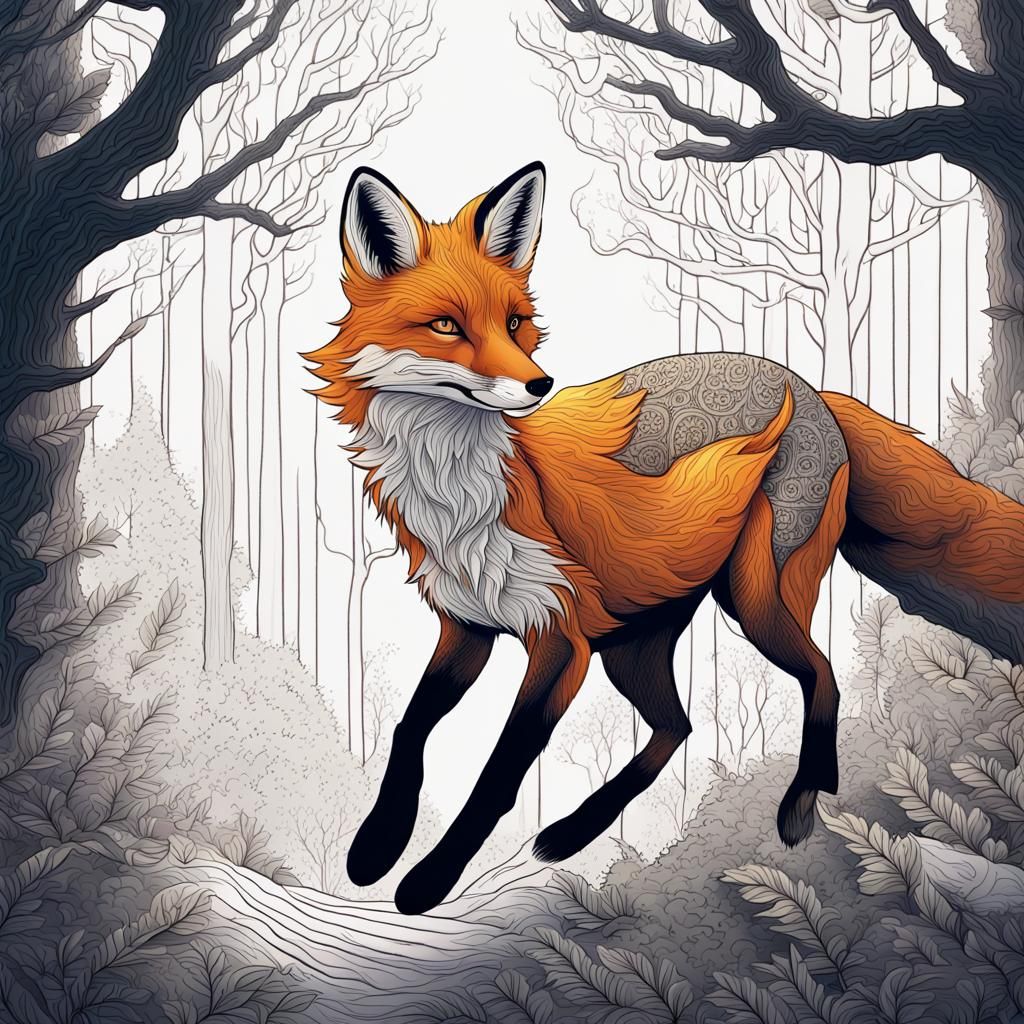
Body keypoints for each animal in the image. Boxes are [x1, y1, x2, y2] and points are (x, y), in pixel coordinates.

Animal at [305, 161, 1024, 915]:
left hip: (754, 600)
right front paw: (376, 845)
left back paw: (800, 804)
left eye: (514, 323)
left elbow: (497, 776)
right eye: (446, 325)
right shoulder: (468, 626)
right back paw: (575, 829)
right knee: (676, 727)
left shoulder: (560, 643)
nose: (539, 383)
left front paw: (429, 880)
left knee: (822, 678)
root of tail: (812, 387)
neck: (463, 493)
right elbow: (409, 730)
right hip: (634, 645)